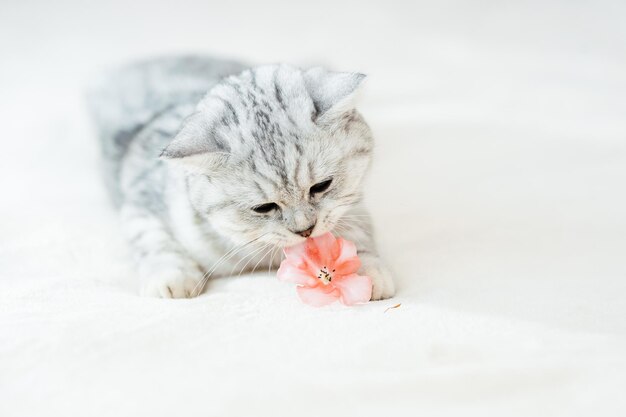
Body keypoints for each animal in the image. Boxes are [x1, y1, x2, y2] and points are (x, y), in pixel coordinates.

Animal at [87, 55, 392, 300]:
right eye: (264, 208)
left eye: (321, 186)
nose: (305, 230)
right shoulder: (141, 201)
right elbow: (151, 239)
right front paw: (171, 276)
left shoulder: (353, 205)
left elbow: (357, 233)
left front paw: (363, 271)